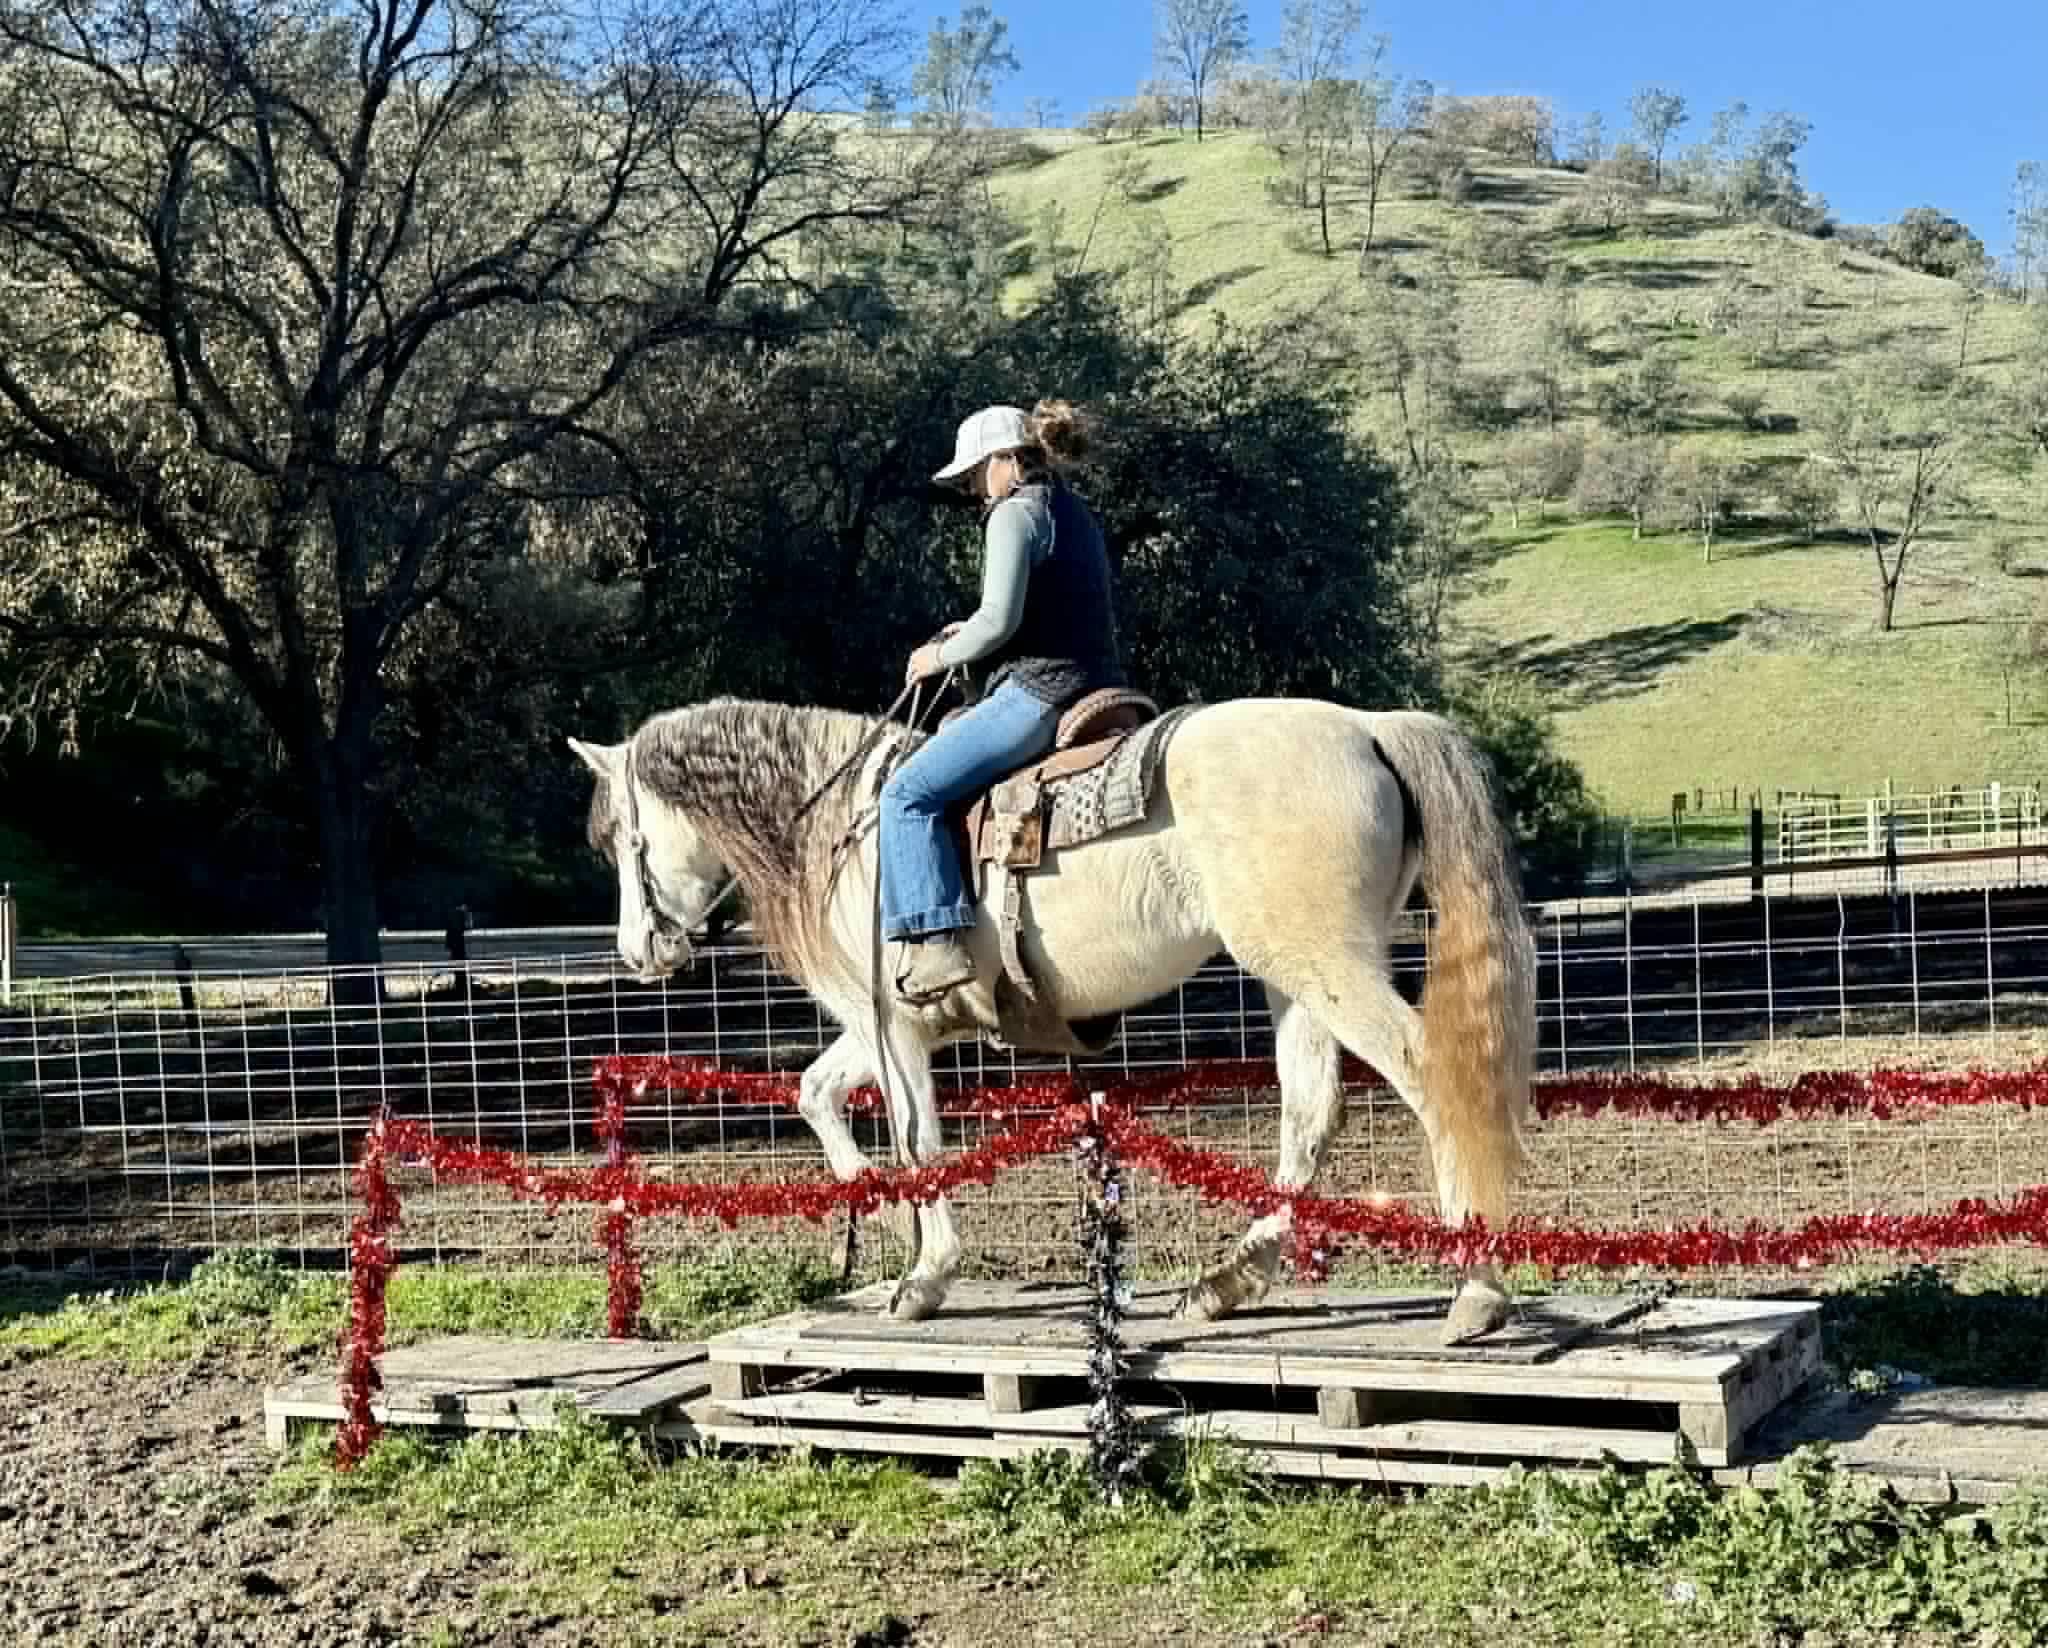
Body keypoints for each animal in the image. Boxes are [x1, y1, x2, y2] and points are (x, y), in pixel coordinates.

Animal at [567, 692, 1538, 1345]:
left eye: (617, 840)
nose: (636, 952)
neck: (843, 826)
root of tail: (1368, 725)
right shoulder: (891, 1027)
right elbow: (815, 1093)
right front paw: (879, 1214)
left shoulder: (892, 1026)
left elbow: (919, 1143)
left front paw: (923, 1277)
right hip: (1294, 976)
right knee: (1309, 1113)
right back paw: (1227, 1281)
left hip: (1327, 965)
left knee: (1429, 1078)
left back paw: (1477, 1292)